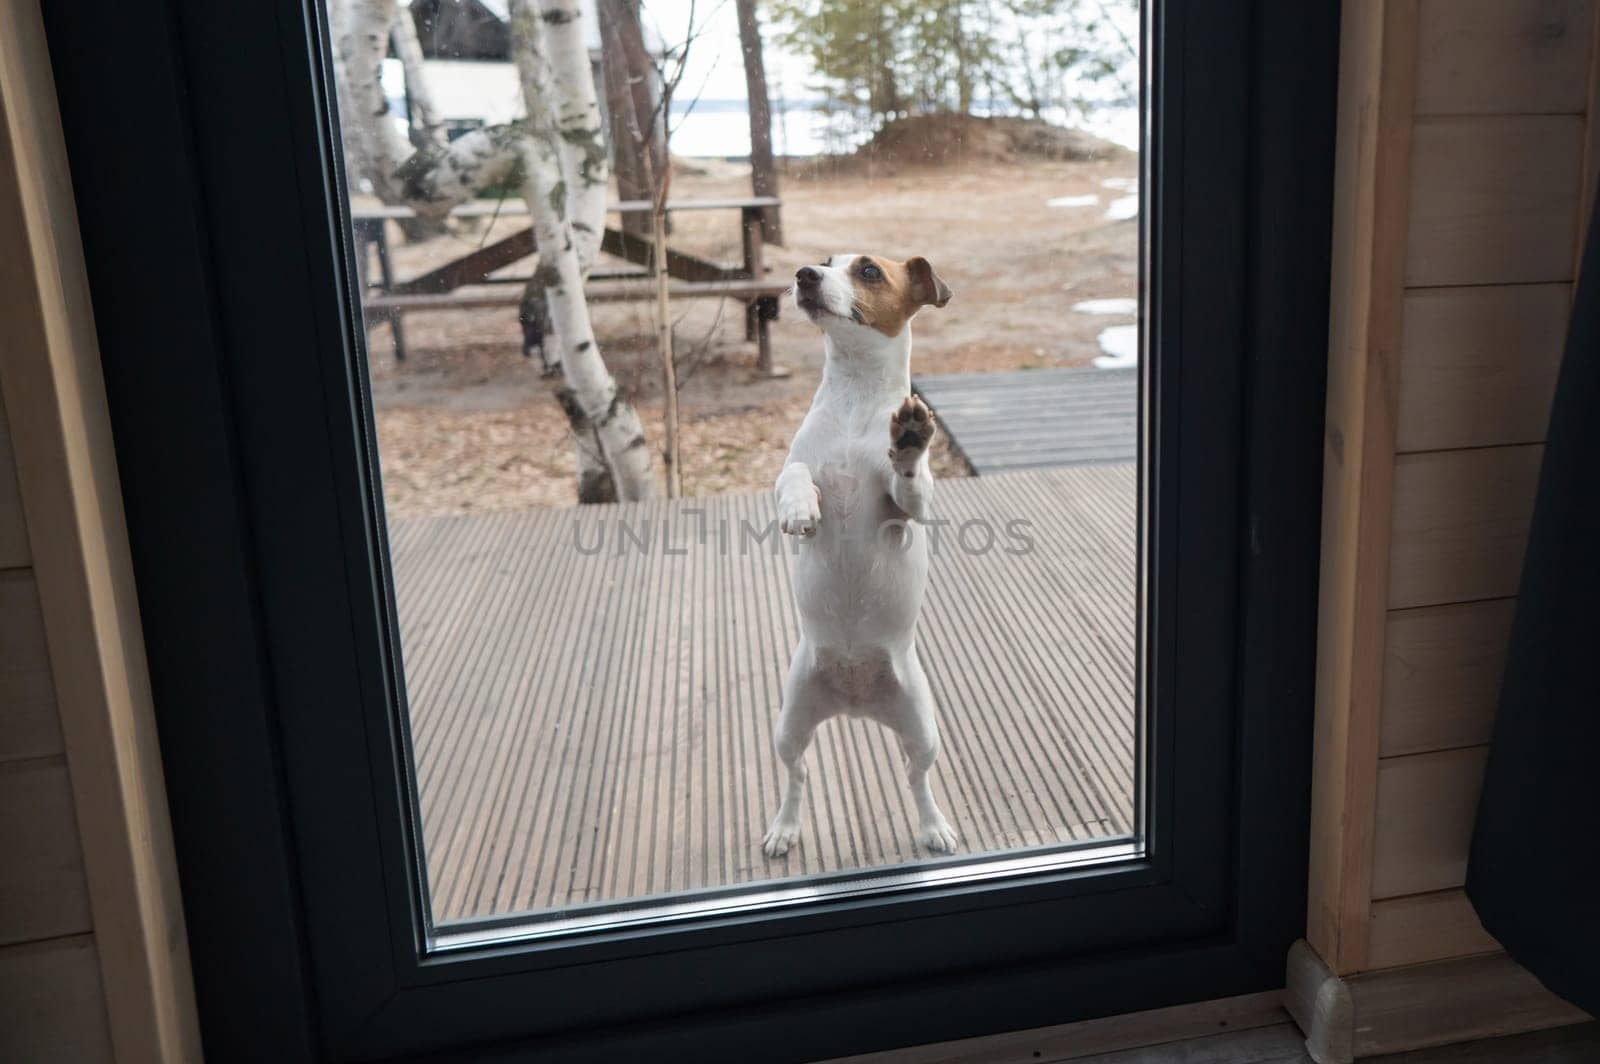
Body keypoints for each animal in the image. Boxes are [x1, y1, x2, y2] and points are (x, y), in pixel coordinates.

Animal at [758, 252, 947, 857]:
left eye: (868, 271)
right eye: (823, 262)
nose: (804, 275)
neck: (854, 401)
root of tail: (856, 702)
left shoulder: (908, 510)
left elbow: (908, 483)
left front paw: (909, 440)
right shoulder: (793, 466)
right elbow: (794, 474)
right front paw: (801, 509)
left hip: (923, 730)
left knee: (917, 778)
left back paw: (933, 827)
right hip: (790, 725)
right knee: (797, 776)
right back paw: (784, 827)